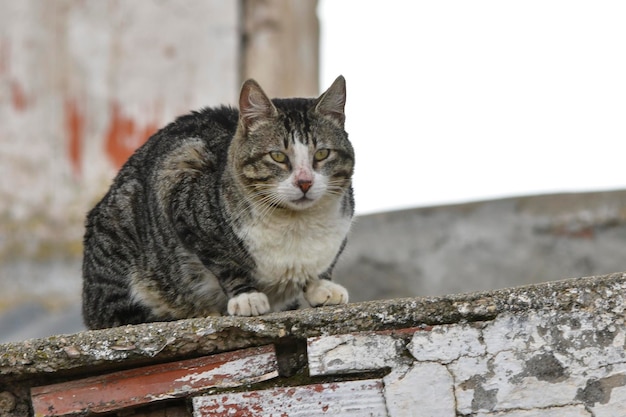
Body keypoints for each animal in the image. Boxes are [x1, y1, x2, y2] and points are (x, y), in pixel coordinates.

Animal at [81, 75, 356, 328]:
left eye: (322, 153)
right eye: (277, 156)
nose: (304, 182)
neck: (297, 225)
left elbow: (326, 263)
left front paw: (322, 286)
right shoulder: (181, 183)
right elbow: (224, 262)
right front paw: (247, 297)